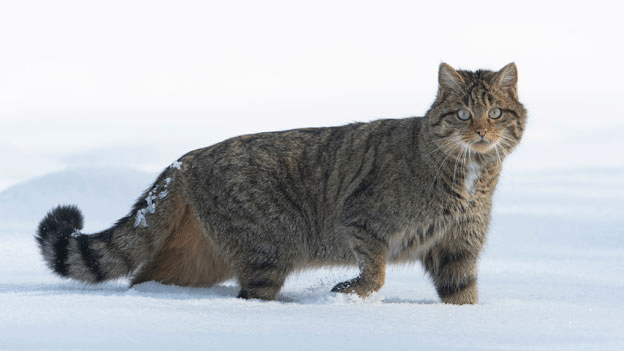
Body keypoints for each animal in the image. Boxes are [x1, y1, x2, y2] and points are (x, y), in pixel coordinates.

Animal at [36, 63, 528, 306]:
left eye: (495, 113)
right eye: (463, 114)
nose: (481, 131)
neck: (471, 173)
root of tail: (188, 157)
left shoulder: (458, 248)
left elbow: (463, 295)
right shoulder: (363, 221)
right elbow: (376, 273)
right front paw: (347, 293)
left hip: (201, 256)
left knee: (144, 276)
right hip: (269, 249)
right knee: (250, 293)